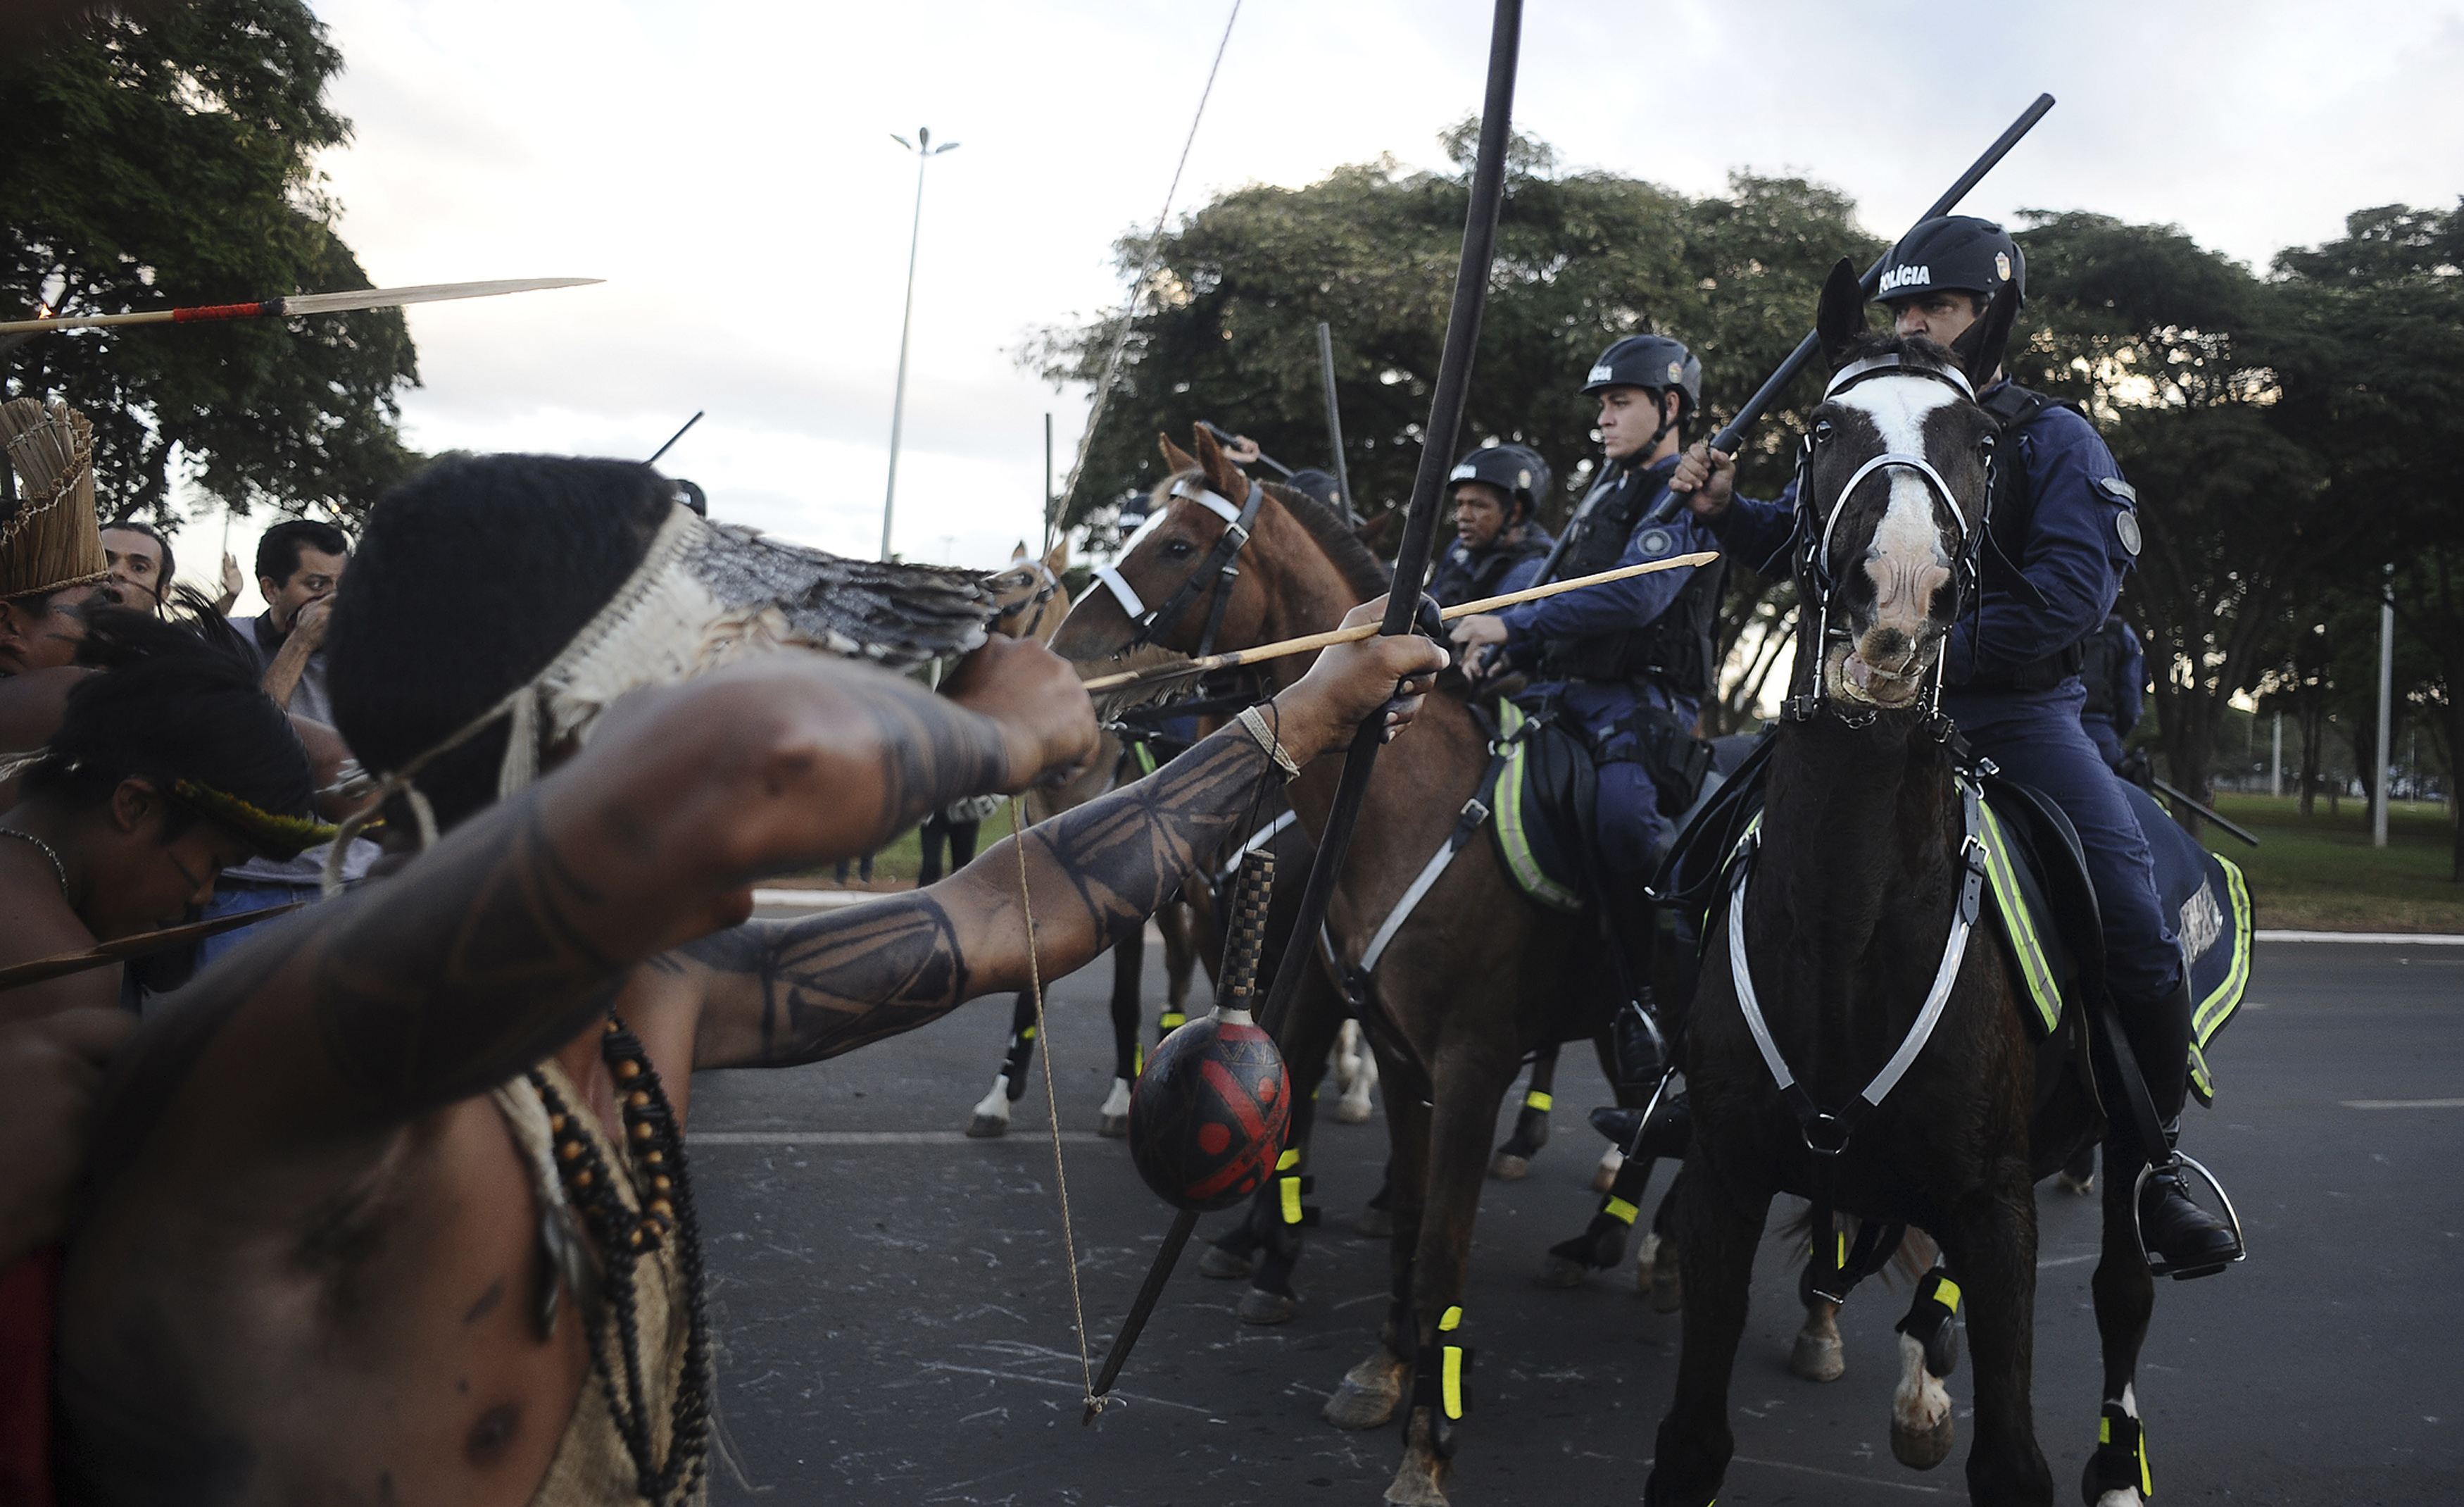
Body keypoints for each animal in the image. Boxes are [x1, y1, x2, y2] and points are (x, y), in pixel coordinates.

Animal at [1656, 258, 2178, 1507]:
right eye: (1822, 428)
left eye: (1982, 441)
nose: (1897, 592)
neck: (1847, 922)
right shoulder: (1722, 1181)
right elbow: (1691, 1440)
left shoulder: (1999, 1214)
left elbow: (2015, 1462)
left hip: (2129, 1148)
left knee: (2125, 1290)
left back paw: (2116, 1466)